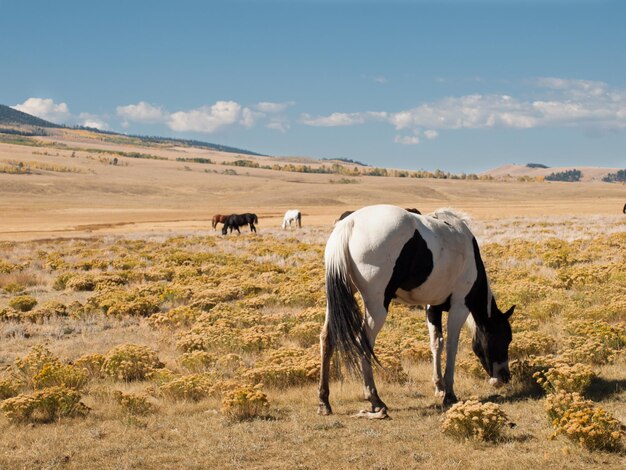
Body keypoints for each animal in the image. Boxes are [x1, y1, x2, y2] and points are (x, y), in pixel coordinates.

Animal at [316, 204, 512, 416]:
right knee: (363, 342)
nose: (505, 377)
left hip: (335, 301)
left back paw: (324, 401)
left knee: (327, 338)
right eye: (503, 338)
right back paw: (375, 399)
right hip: (377, 307)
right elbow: (452, 346)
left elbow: (436, 343)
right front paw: (449, 393)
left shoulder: (432, 307)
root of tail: (350, 223)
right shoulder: (459, 306)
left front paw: (439, 386)